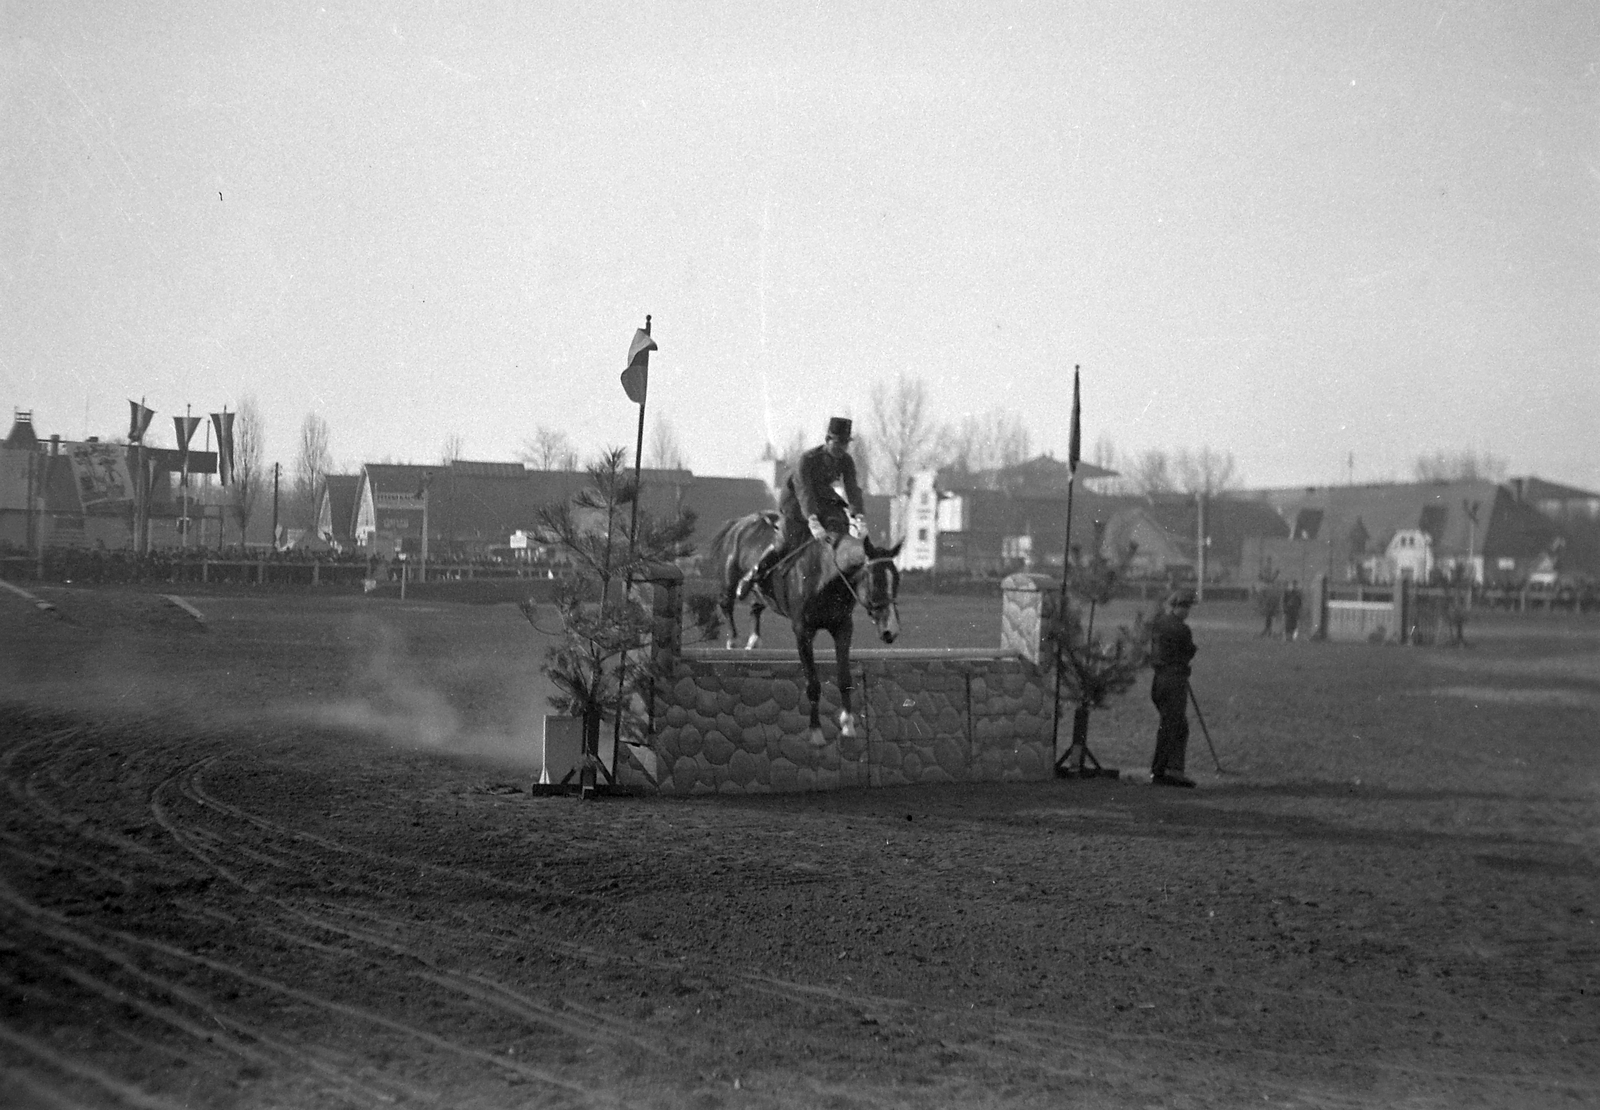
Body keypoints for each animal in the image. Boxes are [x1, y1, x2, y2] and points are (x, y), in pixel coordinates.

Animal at [710, 518, 902, 751]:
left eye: (897, 580)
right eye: (876, 582)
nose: (891, 630)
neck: (828, 576)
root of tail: (740, 523)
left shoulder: (842, 628)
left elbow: (844, 677)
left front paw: (848, 725)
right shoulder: (803, 631)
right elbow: (813, 683)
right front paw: (816, 732)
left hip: (761, 595)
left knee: (756, 606)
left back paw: (754, 641)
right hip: (729, 580)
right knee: (727, 604)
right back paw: (733, 640)